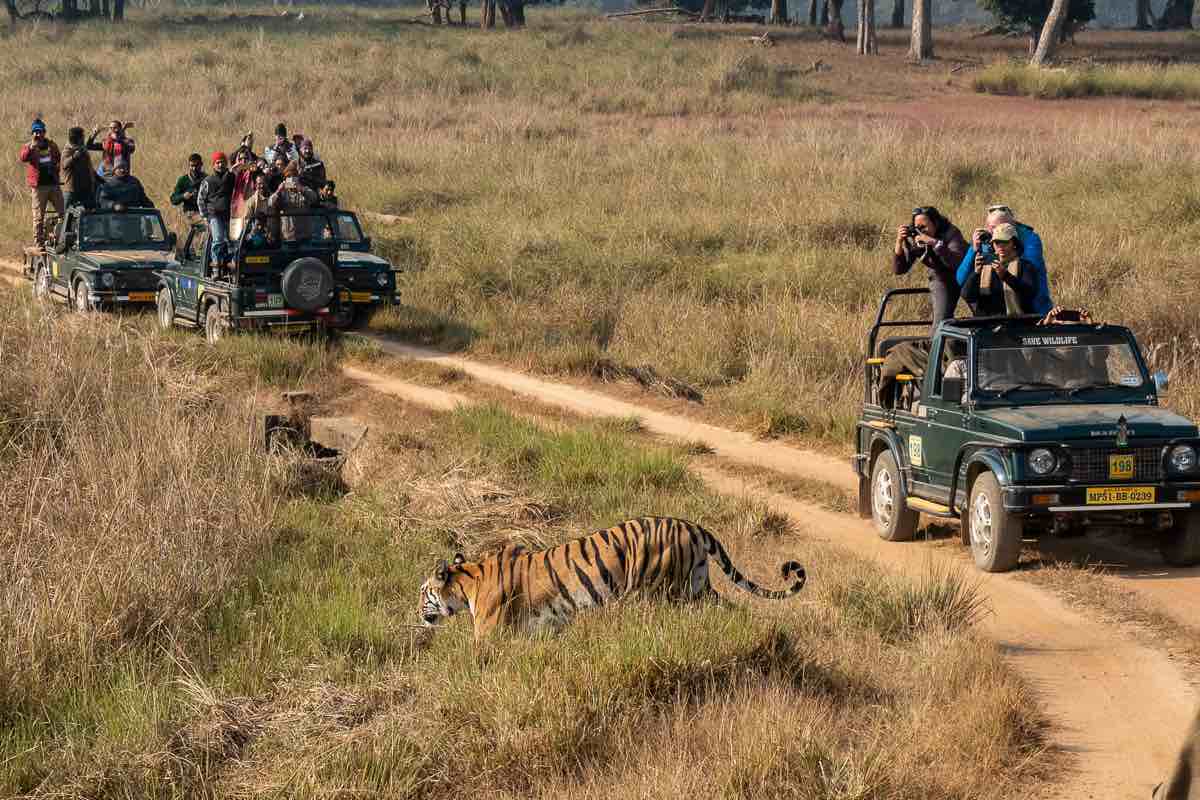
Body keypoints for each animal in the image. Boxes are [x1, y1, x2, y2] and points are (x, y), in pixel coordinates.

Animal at [420, 515, 806, 642]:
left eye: (423, 592)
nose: (417, 612)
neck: (467, 583)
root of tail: (692, 526)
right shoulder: (546, 626)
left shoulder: (488, 634)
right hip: (697, 586)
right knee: (731, 609)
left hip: (660, 591)